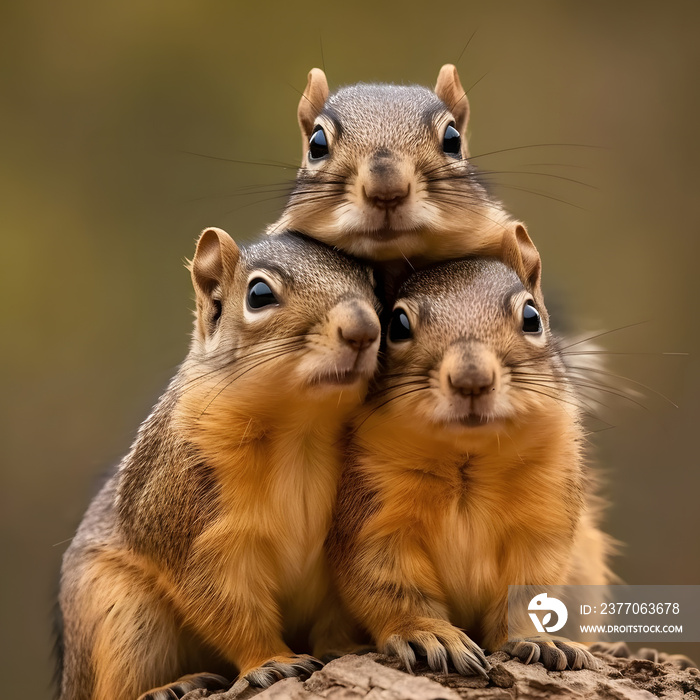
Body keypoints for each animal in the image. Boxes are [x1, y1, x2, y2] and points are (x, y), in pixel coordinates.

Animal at [56, 230, 380, 700]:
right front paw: (270, 662)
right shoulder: (191, 526)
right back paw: (167, 686)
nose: (363, 329)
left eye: (376, 285)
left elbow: (340, 606)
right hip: (120, 610)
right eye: (259, 294)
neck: (301, 430)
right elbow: (225, 603)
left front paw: (346, 646)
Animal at [326, 224, 616, 672]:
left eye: (532, 317)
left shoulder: (544, 514)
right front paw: (427, 633)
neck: (467, 458)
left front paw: (537, 638)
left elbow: (529, 590)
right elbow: (387, 585)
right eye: (397, 324)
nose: (471, 379)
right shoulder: (369, 515)